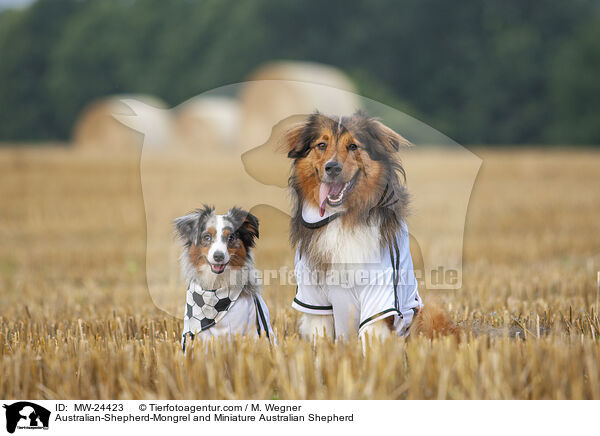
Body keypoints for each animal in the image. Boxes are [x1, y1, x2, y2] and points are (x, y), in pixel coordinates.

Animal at [284, 110, 458, 342]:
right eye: (321, 145)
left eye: (353, 146)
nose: (332, 167)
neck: (342, 216)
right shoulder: (313, 297)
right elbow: (319, 338)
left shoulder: (379, 295)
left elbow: (371, 339)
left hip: (427, 311)